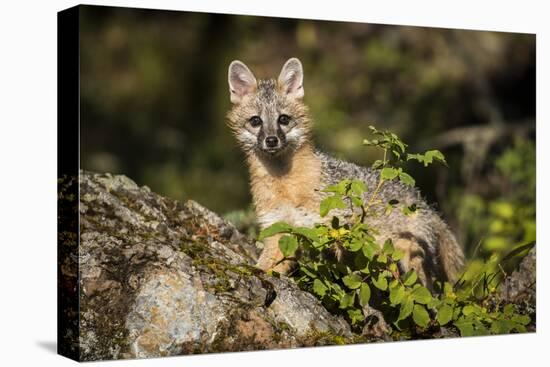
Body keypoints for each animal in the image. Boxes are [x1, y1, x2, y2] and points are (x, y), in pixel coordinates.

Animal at [226, 57, 464, 288]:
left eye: (283, 119)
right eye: (256, 121)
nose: (271, 140)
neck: (286, 185)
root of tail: (423, 201)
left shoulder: (331, 226)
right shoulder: (278, 228)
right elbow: (269, 264)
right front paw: (254, 272)